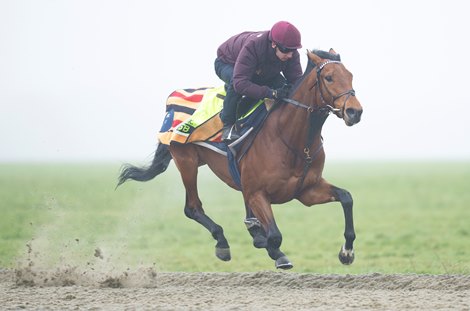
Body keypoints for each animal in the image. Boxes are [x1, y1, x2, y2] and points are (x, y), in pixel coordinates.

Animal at [117, 49, 364, 270]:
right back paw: (223, 242)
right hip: (186, 161)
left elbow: (347, 197)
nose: (355, 112)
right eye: (329, 77)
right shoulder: (258, 193)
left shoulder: (306, 191)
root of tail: (174, 99)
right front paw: (275, 251)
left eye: (351, 75)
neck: (293, 140)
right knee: (192, 208)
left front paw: (347, 252)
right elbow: (275, 235)